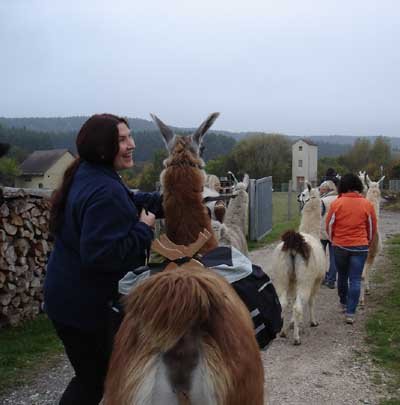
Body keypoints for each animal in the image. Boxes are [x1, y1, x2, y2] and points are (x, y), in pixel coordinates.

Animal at [271, 182, 326, 345]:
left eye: (302, 194)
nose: (297, 197)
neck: (310, 232)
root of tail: (295, 242)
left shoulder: (292, 281)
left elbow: (291, 300)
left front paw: (291, 323)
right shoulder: (317, 280)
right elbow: (312, 301)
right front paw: (313, 322)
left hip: (282, 275)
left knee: (283, 303)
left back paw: (282, 332)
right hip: (305, 278)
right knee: (298, 306)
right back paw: (296, 338)